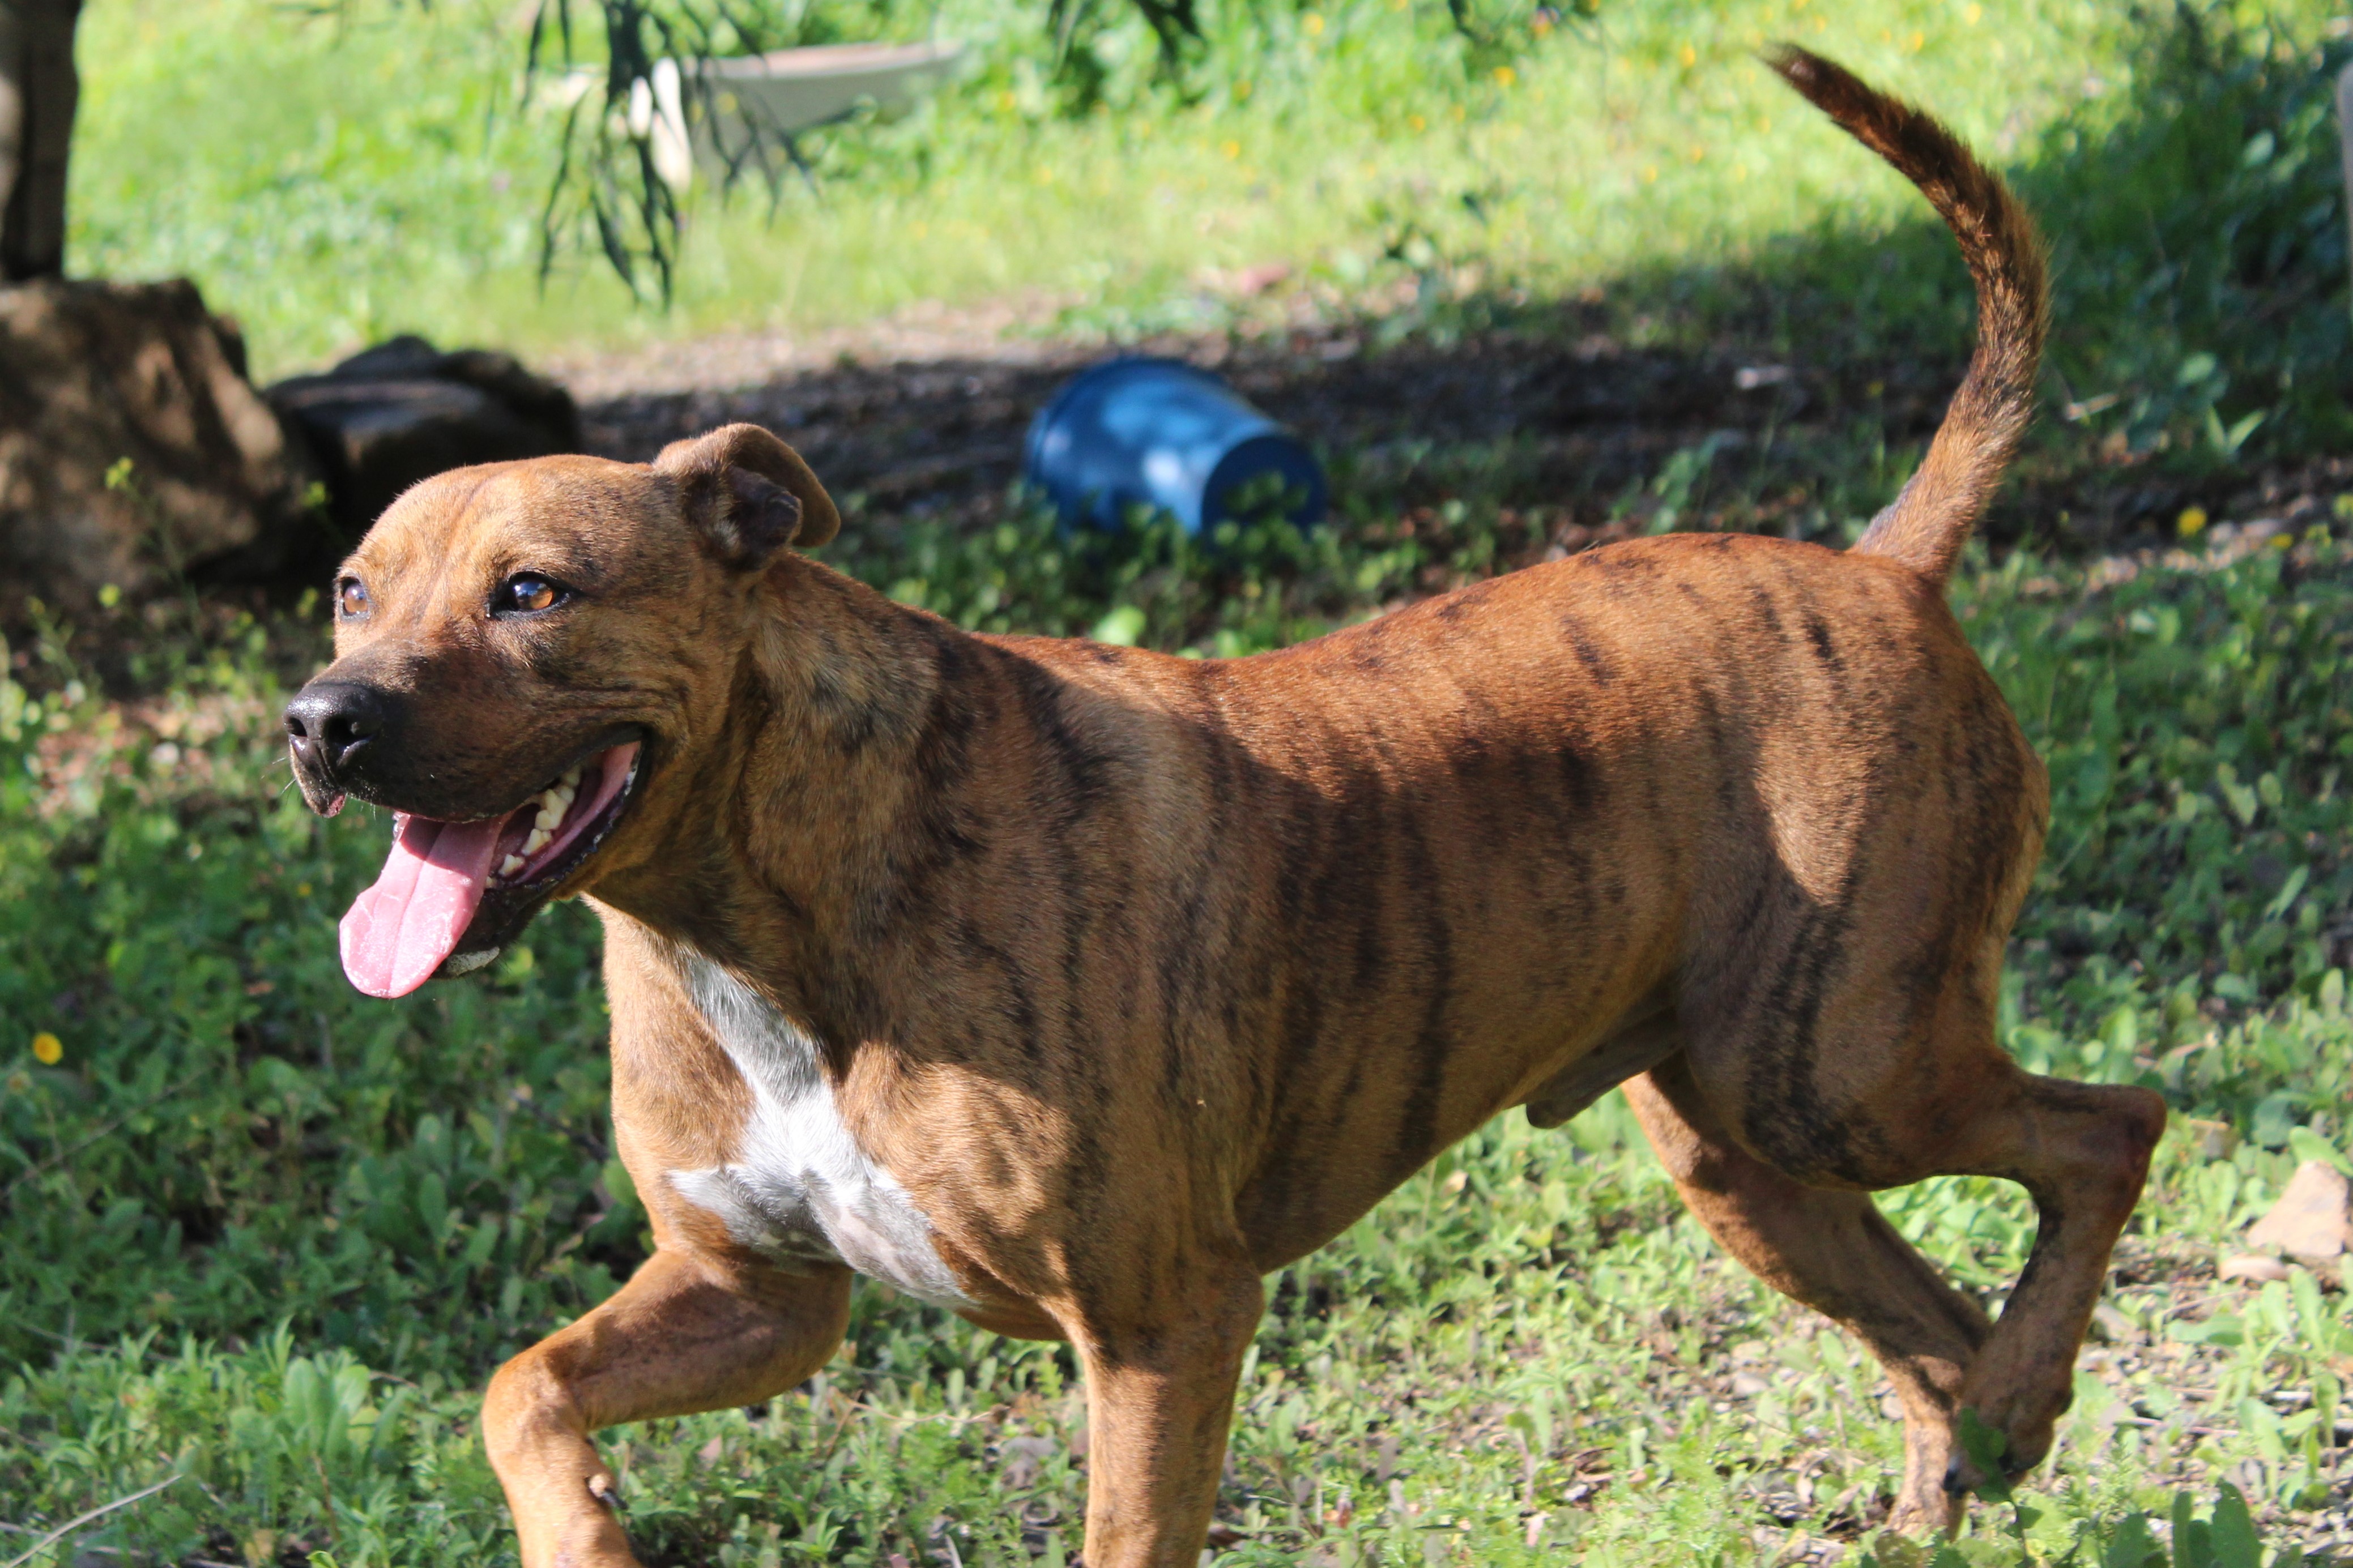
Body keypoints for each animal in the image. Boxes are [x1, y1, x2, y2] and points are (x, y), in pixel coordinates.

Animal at [289, 49, 2164, 1568]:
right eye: (349, 592)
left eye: (533, 593)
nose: (323, 725)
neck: (753, 906)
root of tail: (1883, 568)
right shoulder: (757, 1294)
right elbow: (519, 1386)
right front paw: (584, 1533)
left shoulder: (1158, 1322)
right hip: (1748, 1147)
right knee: (1930, 1319)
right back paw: (1972, 1455)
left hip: (1843, 1068)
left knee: (2108, 1130)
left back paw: (2018, 1386)